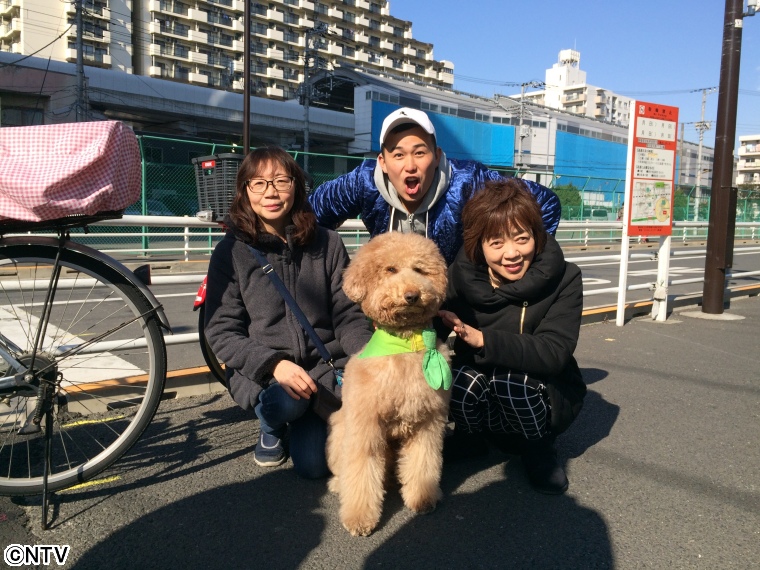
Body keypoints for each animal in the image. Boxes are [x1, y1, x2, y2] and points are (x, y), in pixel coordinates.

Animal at [326, 232, 451, 536]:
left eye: (419, 270)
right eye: (391, 269)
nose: (412, 295)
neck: (405, 344)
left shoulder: (428, 422)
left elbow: (423, 462)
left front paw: (422, 497)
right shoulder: (365, 426)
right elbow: (360, 471)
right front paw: (359, 518)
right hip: (339, 431)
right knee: (343, 470)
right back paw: (337, 485)